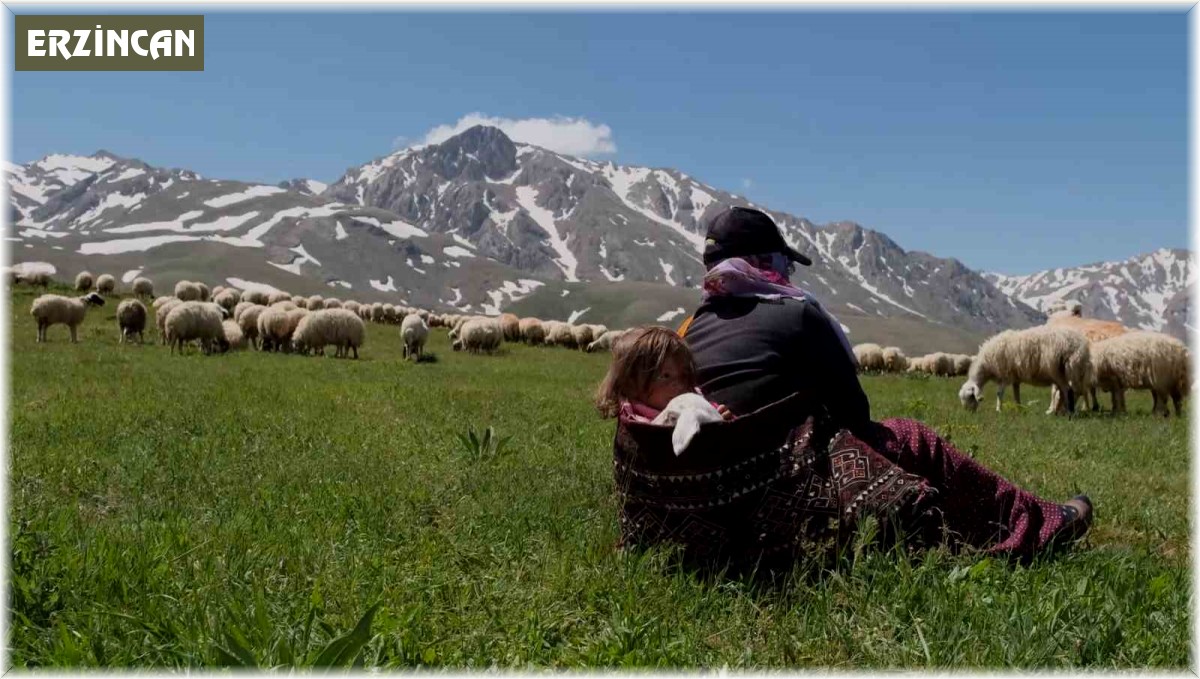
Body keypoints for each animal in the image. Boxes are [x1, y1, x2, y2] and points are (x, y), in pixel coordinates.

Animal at [960, 326, 1094, 415]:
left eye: (970, 396)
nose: (968, 413)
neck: (986, 364)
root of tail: (1081, 345)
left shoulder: (1005, 374)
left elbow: (999, 393)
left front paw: (999, 410)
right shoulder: (1015, 377)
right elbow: (1016, 394)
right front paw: (1019, 408)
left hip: (1058, 370)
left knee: (1067, 390)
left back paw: (1067, 412)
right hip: (1066, 371)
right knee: (1065, 391)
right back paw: (1059, 410)